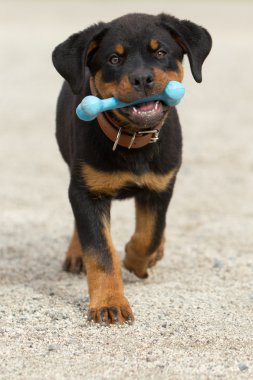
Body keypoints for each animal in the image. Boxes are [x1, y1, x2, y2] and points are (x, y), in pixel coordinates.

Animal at [52, 12, 211, 324]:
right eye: (114, 59)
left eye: (161, 53)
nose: (142, 78)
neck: (131, 139)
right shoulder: (86, 191)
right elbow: (100, 251)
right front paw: (108, 304)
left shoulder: (161, 187)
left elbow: (150, 233)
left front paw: (136, 260)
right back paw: (76, 253)